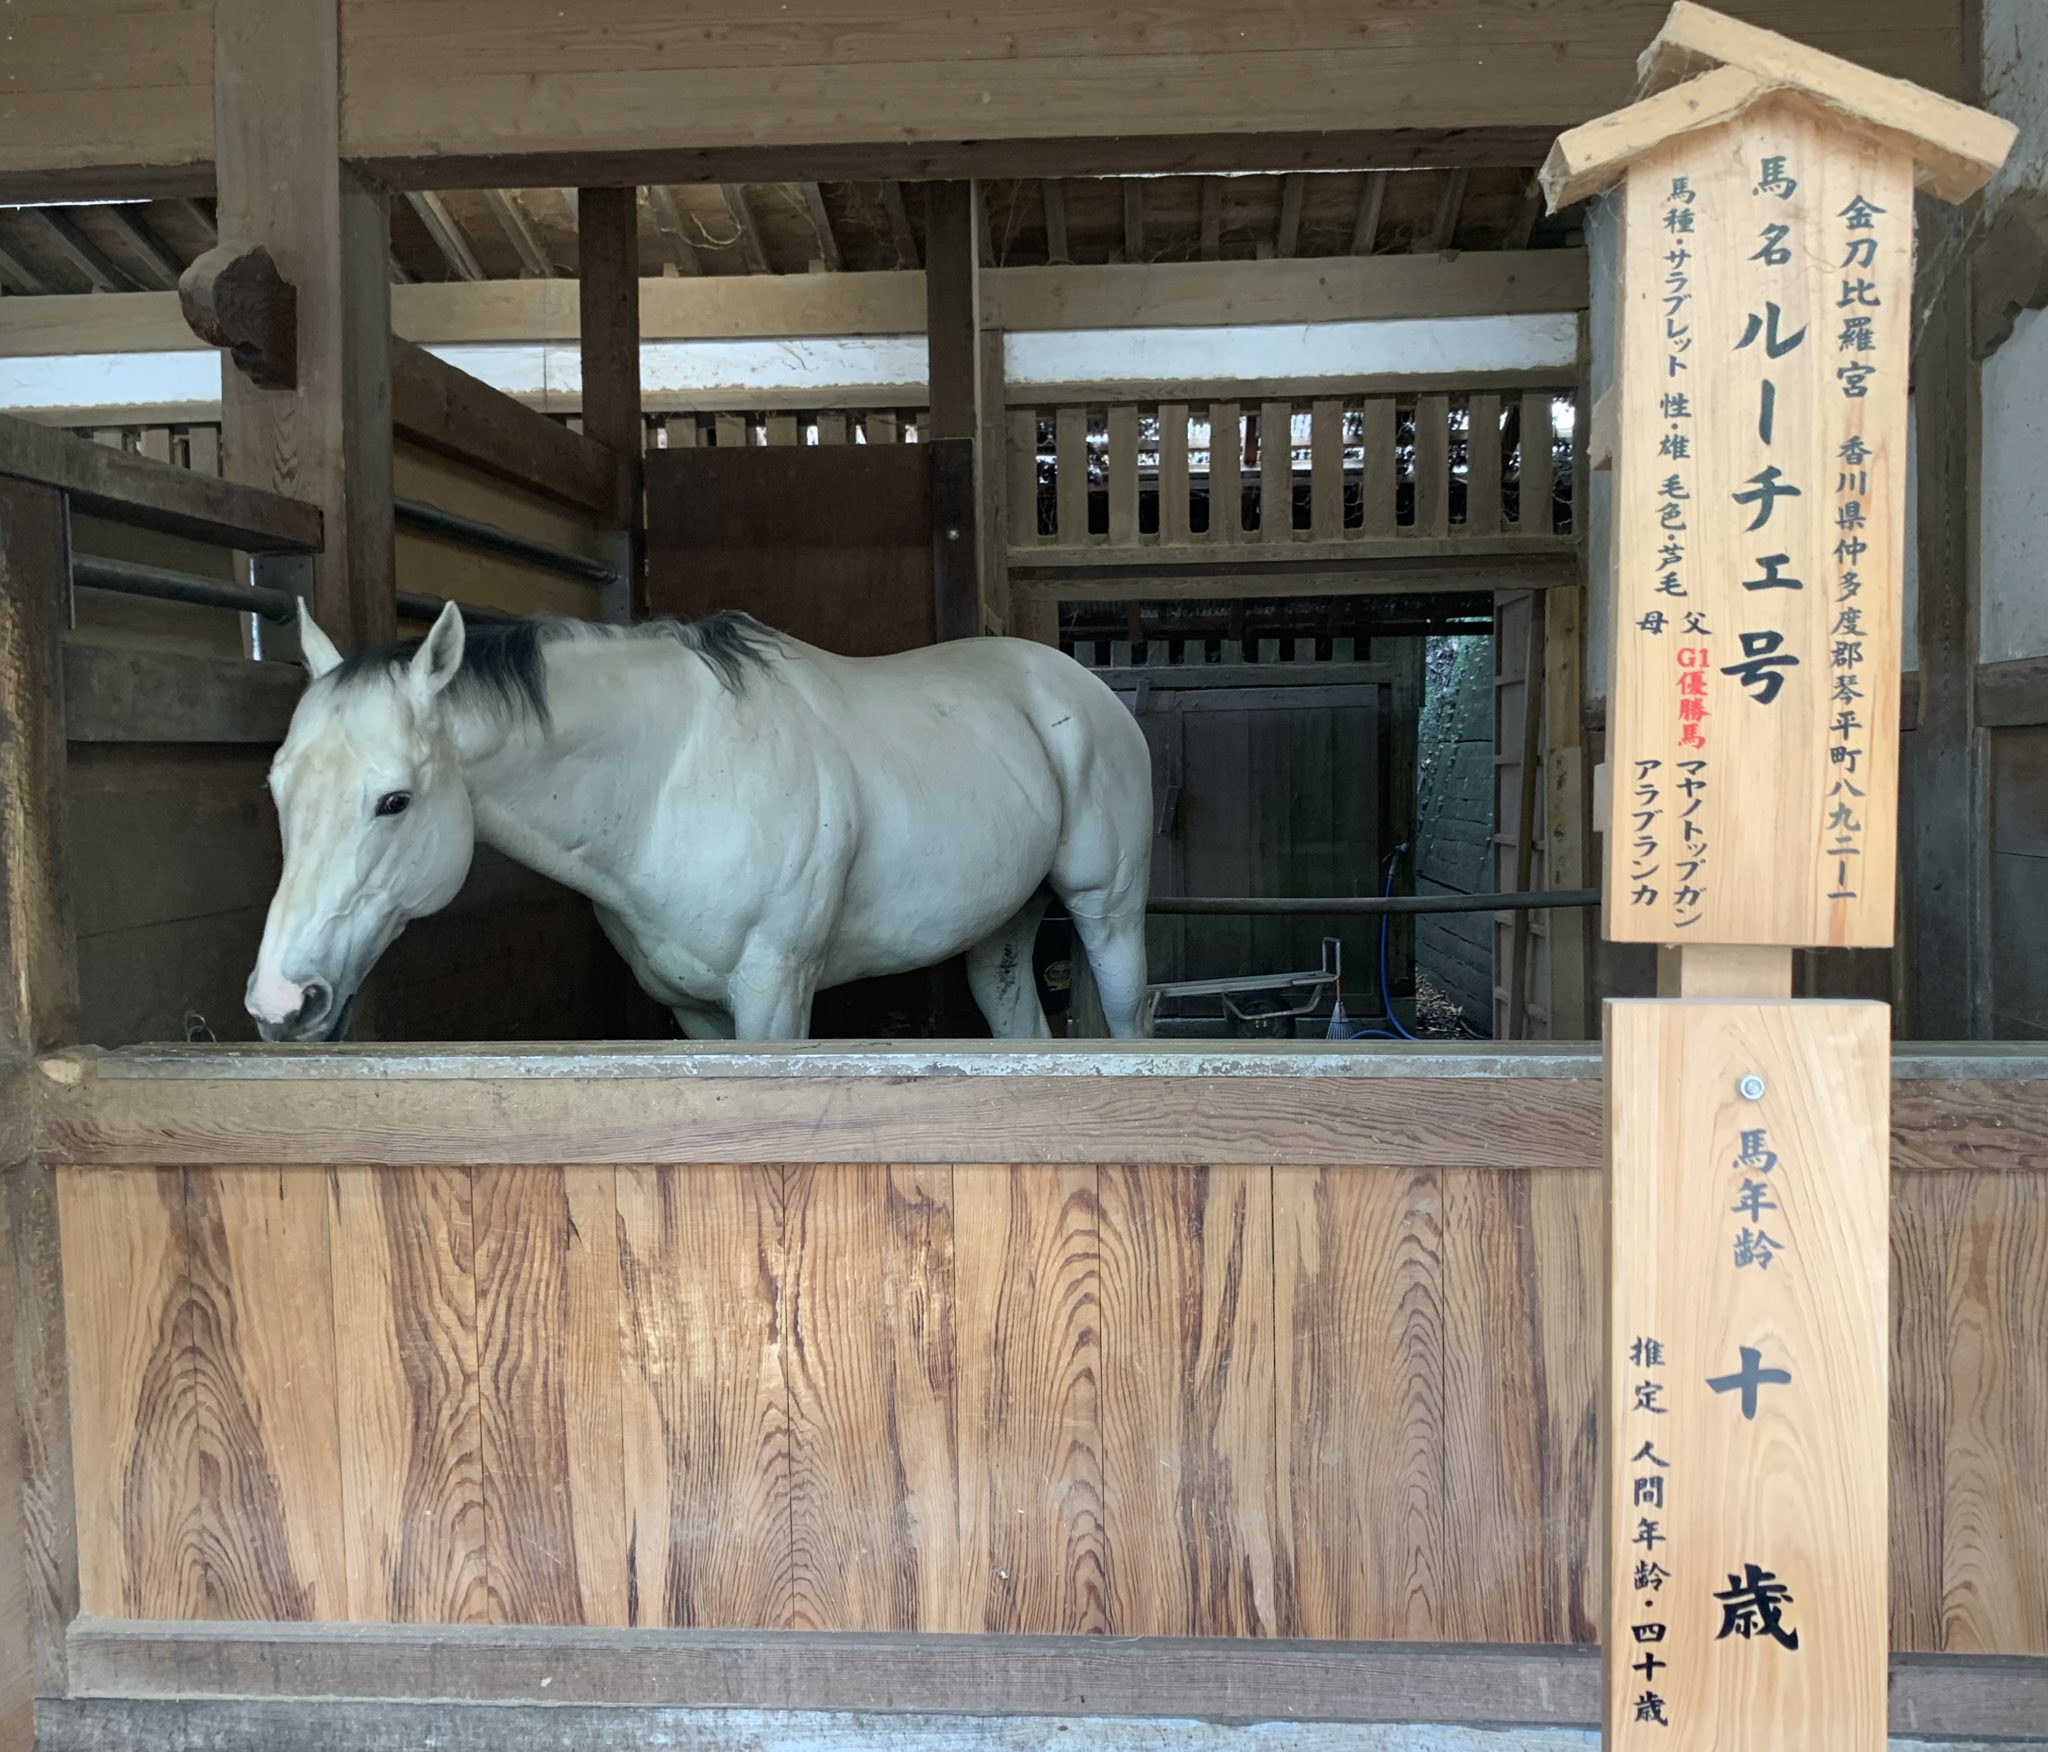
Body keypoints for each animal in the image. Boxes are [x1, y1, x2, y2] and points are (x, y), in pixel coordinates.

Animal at [244, 600, 1154, 1044]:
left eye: (393, 800)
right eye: (277, 788)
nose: (283, 1002)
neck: (671, 784)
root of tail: (1080, 685)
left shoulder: (774, 996)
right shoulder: (693, 1009)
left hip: (1108, 911)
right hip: (1002, 930)